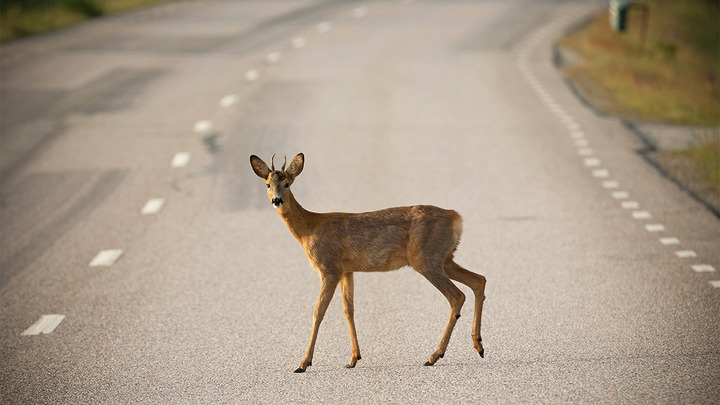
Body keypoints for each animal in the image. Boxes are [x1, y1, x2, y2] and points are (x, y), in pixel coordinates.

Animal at [250, 153, 486, 373]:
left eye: (287, 183)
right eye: (268, 184)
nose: (277, 200)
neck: (309, 228)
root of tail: (456, 218)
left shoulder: (329, 267)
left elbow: (318, 312)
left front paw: (303, 363)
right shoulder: (347, 270)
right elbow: (349, 309)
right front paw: (353, 359)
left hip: (426, 259)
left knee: (457, 295)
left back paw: (434, 356)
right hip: (444, 258)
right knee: (479, 280)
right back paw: (479, 345)